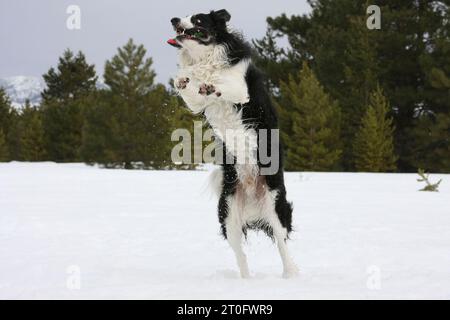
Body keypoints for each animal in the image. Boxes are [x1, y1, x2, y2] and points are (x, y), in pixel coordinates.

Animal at [169, 9, 298, 278]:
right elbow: (190, 91)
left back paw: (291, 275)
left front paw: (209, 84)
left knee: (282, 244)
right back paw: (245, 281)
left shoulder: (241, 89)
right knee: (241, 255)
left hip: (275, 206)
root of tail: (253, 202)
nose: (174, 20)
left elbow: (224, 84)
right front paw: (183, 81)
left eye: (197, 19)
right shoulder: (197, 104)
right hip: (228, 215)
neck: (205, 56)